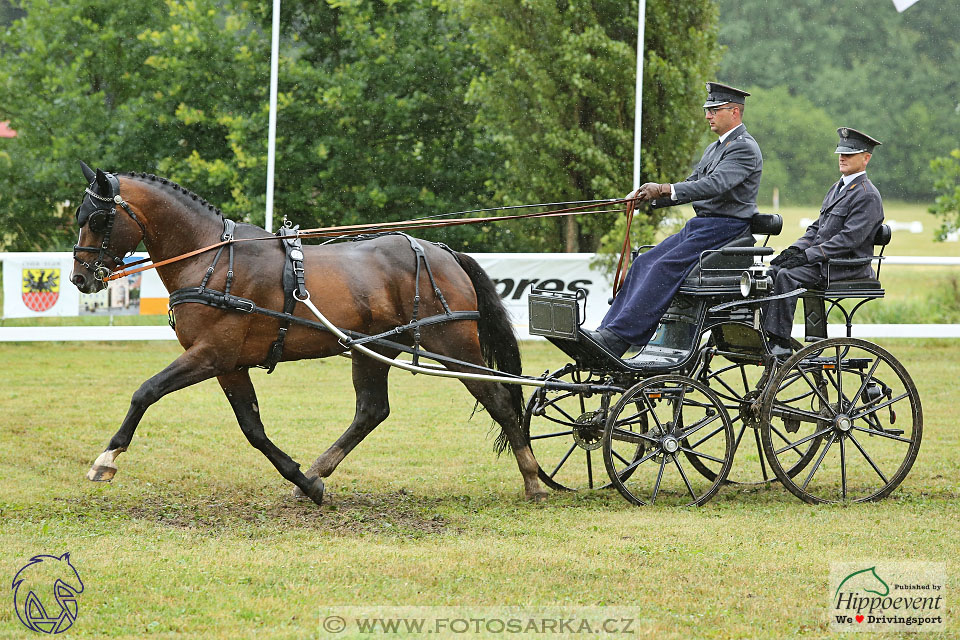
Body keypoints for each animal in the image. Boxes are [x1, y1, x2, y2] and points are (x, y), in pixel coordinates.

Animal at [67, 164, 548, 504]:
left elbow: (146, 392)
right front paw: (303, 480)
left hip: (453, 345)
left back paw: (532, 479)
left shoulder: (211, 355)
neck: (213, 260)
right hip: (372, 350)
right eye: (80, 216)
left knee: (500, 401)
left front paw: (106, 459)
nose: (80, 278)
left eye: (99, 218)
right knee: (371, 411)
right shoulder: (229, 365)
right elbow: (253, 428)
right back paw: (317, 473)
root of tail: (443, 251)